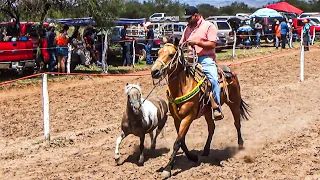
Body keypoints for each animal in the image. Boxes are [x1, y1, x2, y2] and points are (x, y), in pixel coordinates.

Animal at [151, 40, 250, 178]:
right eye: (158, 53)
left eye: (171, 55)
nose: (154, 71)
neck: (182, 86)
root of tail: (230, 71)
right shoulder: (177, 119)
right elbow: (182, 141)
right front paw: (192, 157)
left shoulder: (188, 117)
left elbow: (177, 142)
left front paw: (167, 169)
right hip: (208, 111)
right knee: (212, 128)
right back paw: (206, 150)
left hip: (234, 103)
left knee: (237, 123)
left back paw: (240, 145)